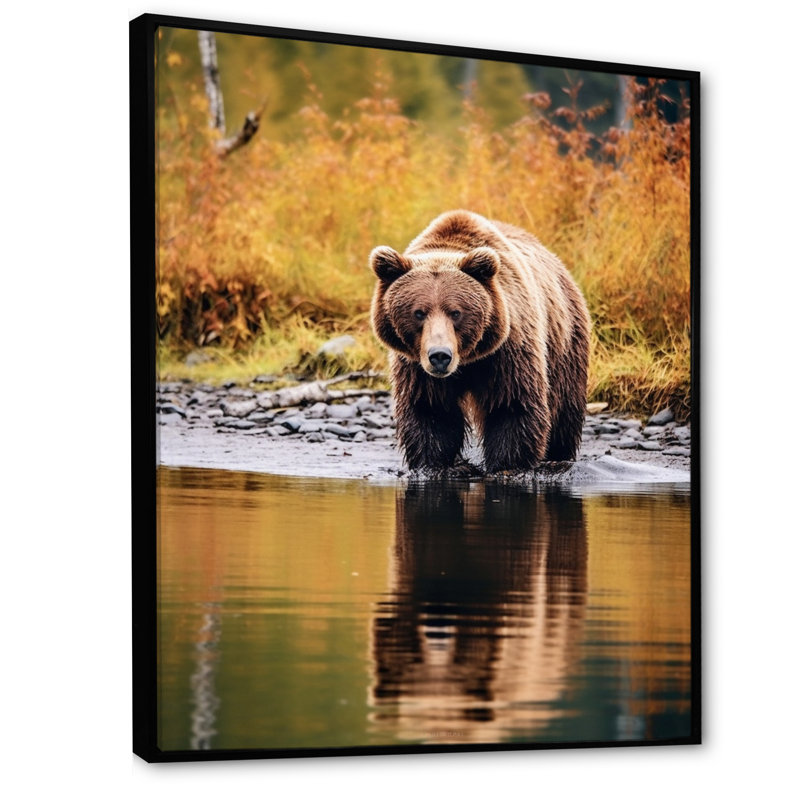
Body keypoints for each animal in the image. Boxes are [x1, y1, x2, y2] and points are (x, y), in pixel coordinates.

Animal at [369, 210, 590, 473]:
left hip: (564, 341)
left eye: (456, 312)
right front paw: (436, 464)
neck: (467, 360)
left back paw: (558, 455)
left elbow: (510, 404)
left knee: (564, 404)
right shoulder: (416, 364)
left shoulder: (508, 350)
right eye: (419, 312)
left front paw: (507, 465)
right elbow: (431, 410)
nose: (440, 355)